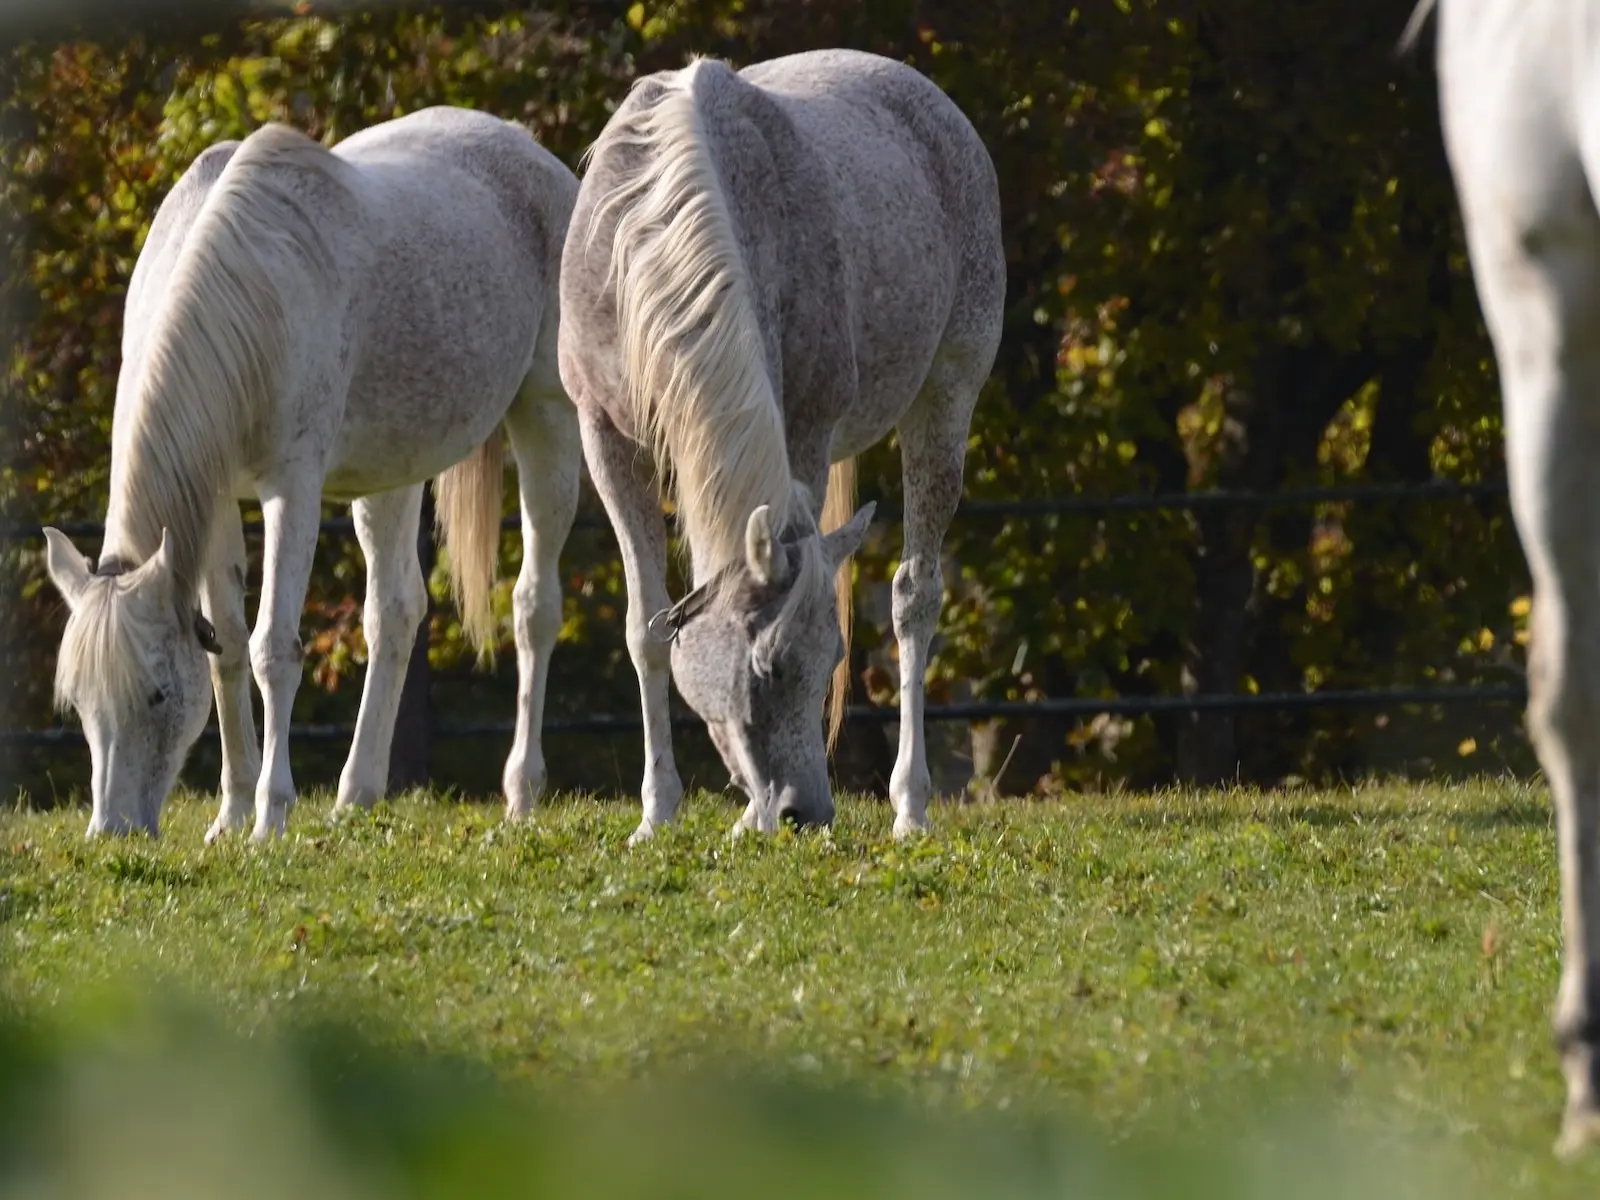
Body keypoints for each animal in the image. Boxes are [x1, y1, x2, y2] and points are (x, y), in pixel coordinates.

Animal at [40, 110, 585, 844]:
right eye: (78, 702)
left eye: (155, 694)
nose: (112, 831)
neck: (250, 294)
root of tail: (532, 153)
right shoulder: (214, 504)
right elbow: (227, 651)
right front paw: (232, 813)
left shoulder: (291, 492)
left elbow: (273, 646)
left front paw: (270, 816)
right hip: (391, 473)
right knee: (395, 612)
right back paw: (356, 794)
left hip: (546, 418)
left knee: (533, 607)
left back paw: (521, 792)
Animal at [556, 49, 992, 844]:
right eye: (769, 668)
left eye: (831, 659)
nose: (804, 812)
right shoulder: (602, 434)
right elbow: (646, 627)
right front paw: (656, 813)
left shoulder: (807, 433)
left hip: (948, 395)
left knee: (915, 597)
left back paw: (910, 807)